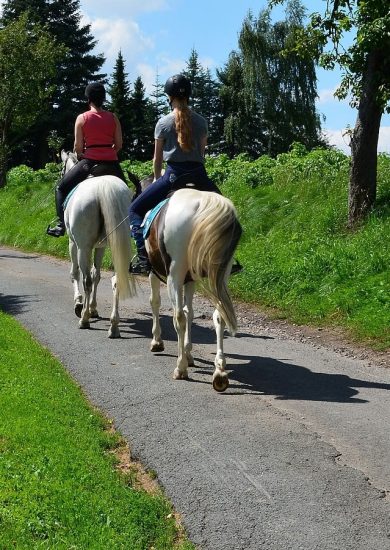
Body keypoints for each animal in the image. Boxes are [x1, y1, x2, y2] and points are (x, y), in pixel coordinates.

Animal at [60, 152, 135, 340]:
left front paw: (80, 304)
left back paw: (84, 319)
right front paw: (93, 308)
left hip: (83, 247)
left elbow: (75, 273)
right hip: (116, 245)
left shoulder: (73, 244)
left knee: (86, 279)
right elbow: (97, 275)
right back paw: (114, 326)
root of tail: (105, 187)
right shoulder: (101, 246)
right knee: (116, 279)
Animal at [142, 181, 242, 392]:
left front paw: (158, 342)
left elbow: (156, 302)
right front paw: (189, 354)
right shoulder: (190, 280)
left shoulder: (155, 273)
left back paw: (180, 368)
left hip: (175, 274)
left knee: (178, 316)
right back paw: (219, 371)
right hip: (221, 274)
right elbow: (191, 312)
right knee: (219, 315)